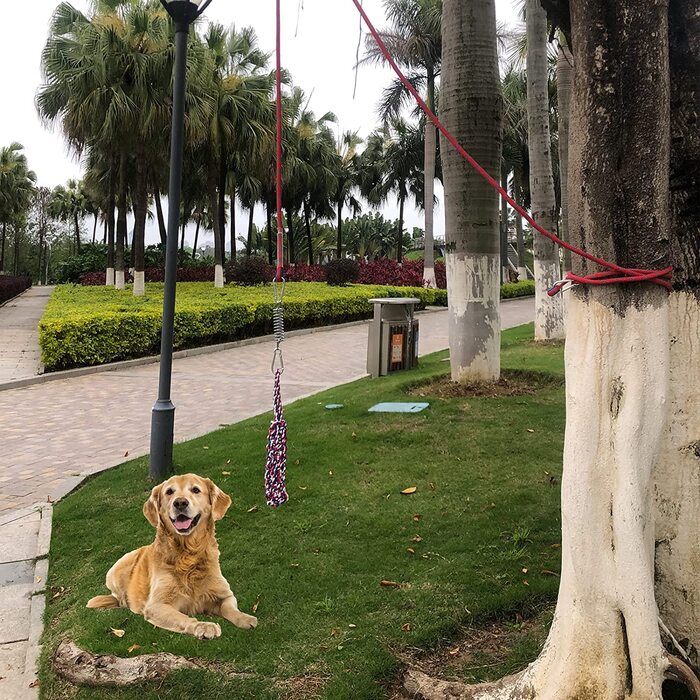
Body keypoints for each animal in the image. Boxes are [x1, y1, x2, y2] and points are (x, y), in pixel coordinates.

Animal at [87, 476, 258, 640]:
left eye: (195, 490)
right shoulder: (156, 605)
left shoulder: (224, 594)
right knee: (120, 598)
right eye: (169, 492)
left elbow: (229, 607)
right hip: (117, 570)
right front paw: (203, 626)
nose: (180, 503)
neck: (188, 554)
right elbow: (183, 617)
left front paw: (245, 618)